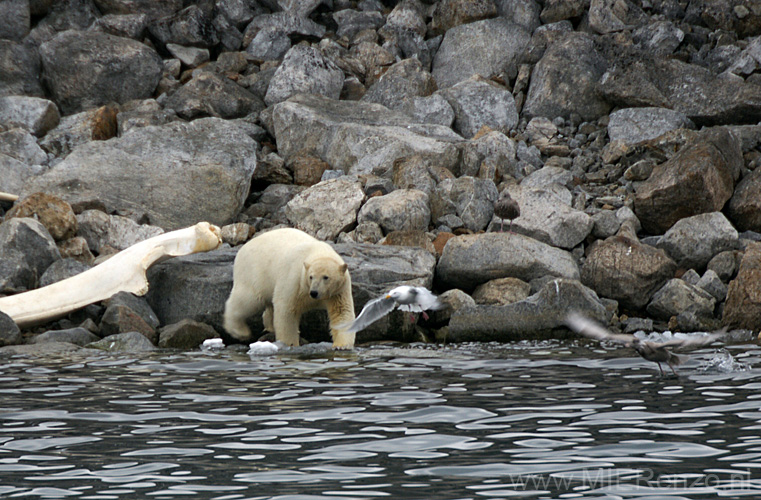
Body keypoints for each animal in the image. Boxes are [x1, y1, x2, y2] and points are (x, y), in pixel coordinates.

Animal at [223, 227, 356, 348]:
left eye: (326, 277)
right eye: (311, 277)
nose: (314, 292)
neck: (318, 252)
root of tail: (242, 249)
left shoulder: (339, 291)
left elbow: (341, 312)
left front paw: (341, 345)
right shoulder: (295, 280)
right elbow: (286, 310)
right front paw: (290, 344)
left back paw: (268, 325)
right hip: (254, 273)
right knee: (248, 299)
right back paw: (240, 331)